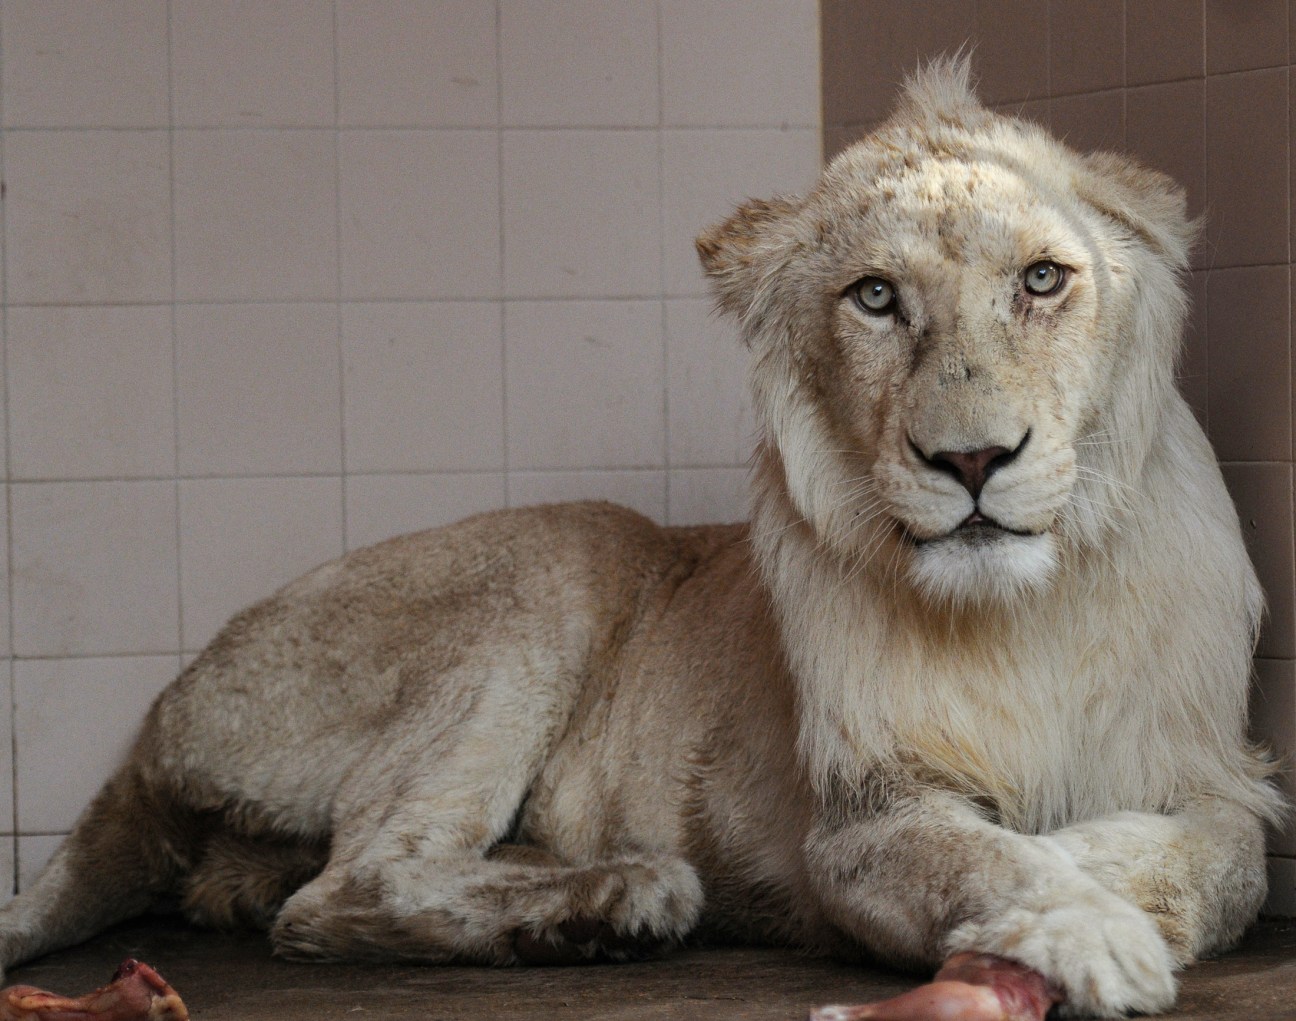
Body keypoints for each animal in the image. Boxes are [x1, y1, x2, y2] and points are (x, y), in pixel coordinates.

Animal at [0, 59, 1283, 1018]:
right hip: (564, 559)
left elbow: (1226, 859)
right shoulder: (859, 818)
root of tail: (160, 713)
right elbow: (977, 852)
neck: (1024, 608)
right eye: (875, 298)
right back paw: (620, 901)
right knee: (339, 891)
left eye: (1043, 279)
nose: (970, 462)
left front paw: (1094, 869)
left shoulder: (1204, 767)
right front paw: (1084, 926)